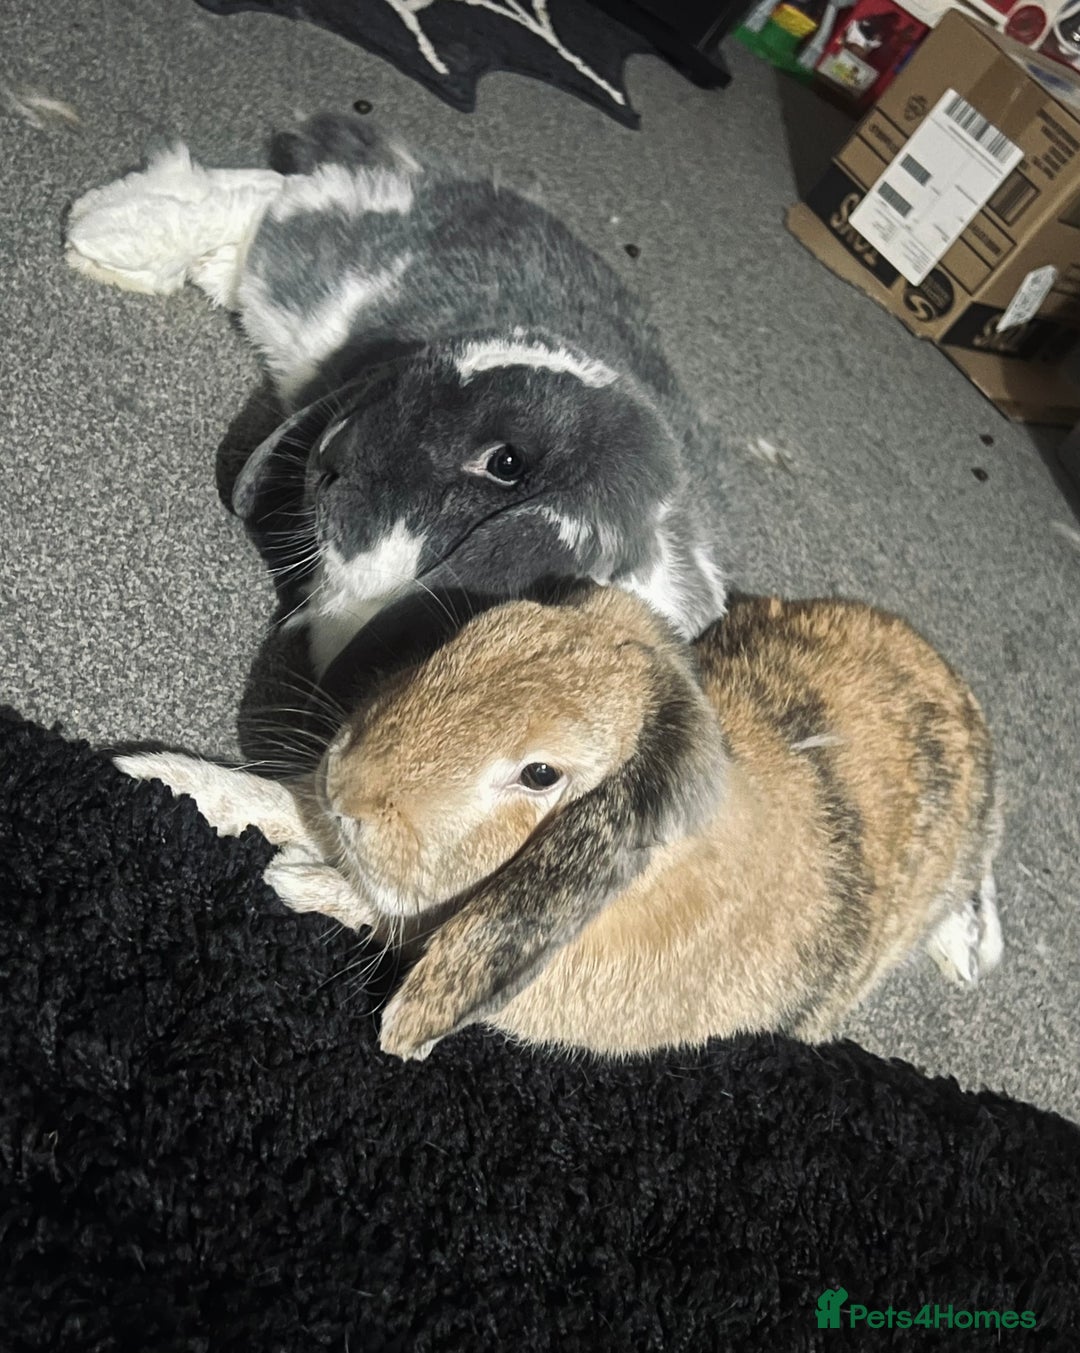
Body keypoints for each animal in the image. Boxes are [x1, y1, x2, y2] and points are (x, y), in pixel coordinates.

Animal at [64, 113, 728, 676]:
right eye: (413, 380)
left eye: (506, 463)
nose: (330, 457)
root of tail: (429, 180)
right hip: (322, 240)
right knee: (256, 197)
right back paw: (99, 233)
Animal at [116, 582, 1004, 1062]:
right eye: (474, 634)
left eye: (540, 773)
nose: (350, 788)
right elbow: (272, 801)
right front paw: (158, 774)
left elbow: (379, 910)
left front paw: (291, 882)